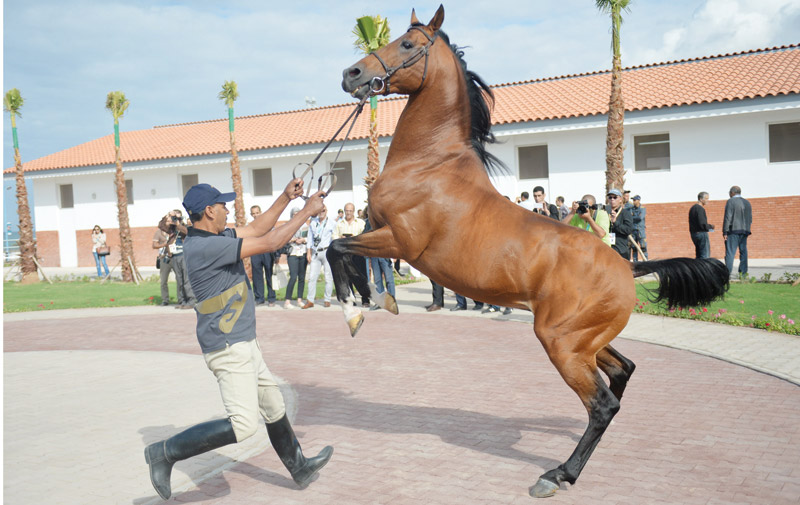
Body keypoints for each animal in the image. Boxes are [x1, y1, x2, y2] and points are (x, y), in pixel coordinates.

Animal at [328, 5, 728, 498]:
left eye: (407, 44)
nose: (351, 74)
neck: (429, 164)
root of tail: (626, 267)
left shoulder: (400, 240)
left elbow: (337, 249)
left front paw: (356, 312)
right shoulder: (381, 232)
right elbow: (345, 253)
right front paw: (371, 303)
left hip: (562, 343)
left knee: (602, 404)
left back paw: (558, 474)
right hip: (586, 341)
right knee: (623, 372)